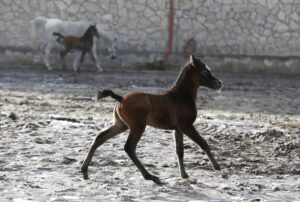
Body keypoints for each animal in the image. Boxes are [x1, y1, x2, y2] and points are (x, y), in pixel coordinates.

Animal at [81, 54, 226, 184]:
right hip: (138, 127)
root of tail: (121, 98)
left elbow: (179, 151)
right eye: (204, 71)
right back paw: (151, 177)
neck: (180, 97)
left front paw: (184, 175)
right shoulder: (186, 125)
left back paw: (84, 171)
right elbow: (203, 143)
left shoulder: (178, 129)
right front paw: (218, 168)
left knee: (100, 137)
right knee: (129, 148)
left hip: (121, 125)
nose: (219, 83)